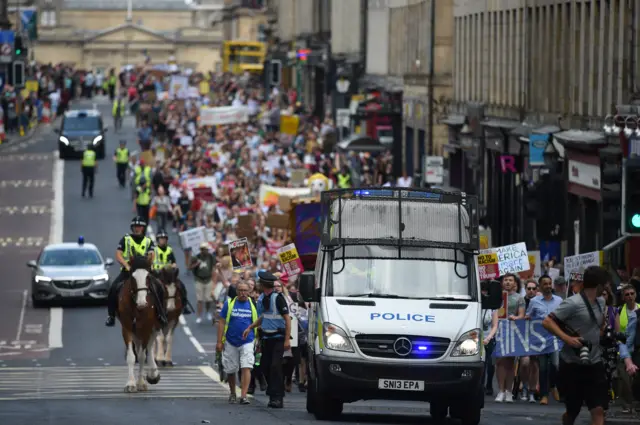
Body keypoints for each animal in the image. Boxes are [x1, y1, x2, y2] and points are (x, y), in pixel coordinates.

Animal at [117, 253, 162, 392]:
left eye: (148, 277)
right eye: (133, 277)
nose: (142, 303)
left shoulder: (146, 327)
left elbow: (142, 355)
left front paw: (141, 383)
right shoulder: (127, 328)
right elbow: (131, 356)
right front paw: (131, 384)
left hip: (154, 326)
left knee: (150, 345)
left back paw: (153, 374)